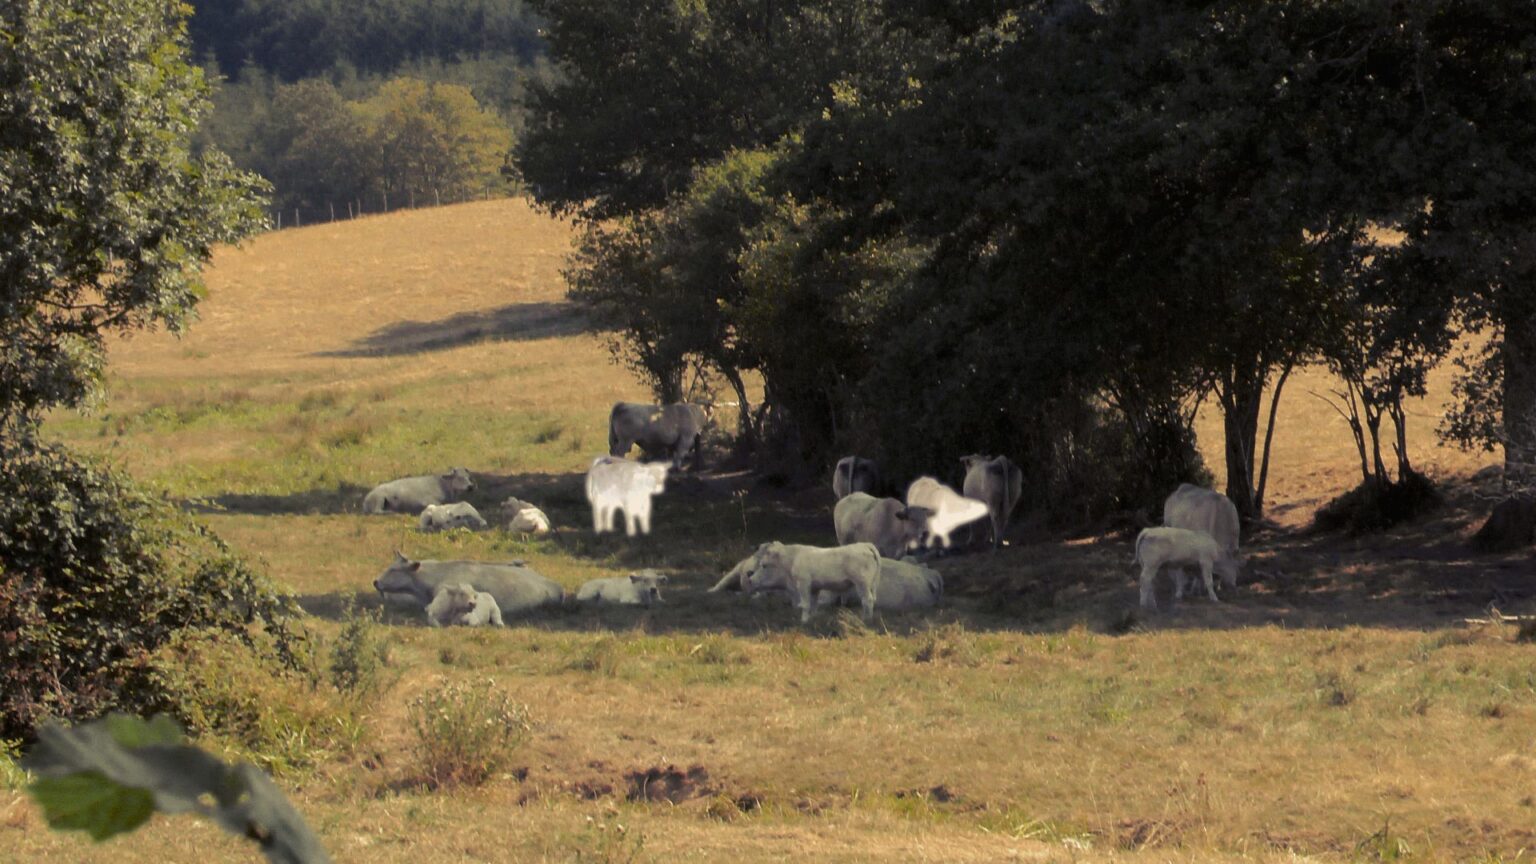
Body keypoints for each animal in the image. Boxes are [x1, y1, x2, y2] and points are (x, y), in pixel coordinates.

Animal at [740, 538, 884, 618]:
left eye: (764, 565)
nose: (750, 578)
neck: (793, 558)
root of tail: (865, 545)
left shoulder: (803, 584)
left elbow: (805, 604)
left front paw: (803, 621)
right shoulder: (815, 588)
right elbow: (814, 605)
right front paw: (812, 619)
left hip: (862, 583)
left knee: (867, 600)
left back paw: (866, 620)